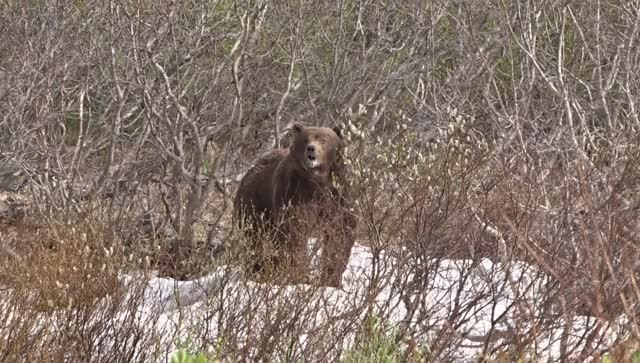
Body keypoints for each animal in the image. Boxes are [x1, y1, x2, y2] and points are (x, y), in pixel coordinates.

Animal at [234, 123, 358, 288]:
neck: (317, 180)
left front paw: (332, 280)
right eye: (305, 140)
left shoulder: (338, 194)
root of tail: (249, 170)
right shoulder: (294, 192)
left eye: (324, 139)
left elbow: (340, 233)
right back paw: (258, 271)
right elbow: (294, 231)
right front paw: (299, 275)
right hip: (255, 203)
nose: (311, 149)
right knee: (256, 238)